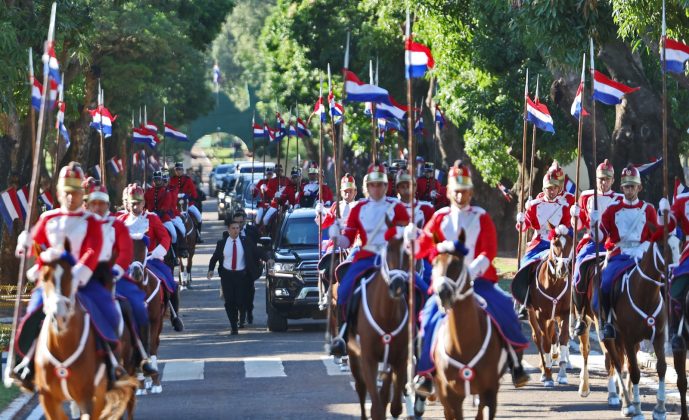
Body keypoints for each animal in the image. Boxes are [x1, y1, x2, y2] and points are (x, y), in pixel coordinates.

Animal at [34, 243, 137, 420]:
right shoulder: (49, 400)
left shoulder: (90, 398)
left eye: (71, 275)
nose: (59, 316)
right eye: (44, 277)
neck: (63, 346)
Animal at [346, 221, 412, 418]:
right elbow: (376, 407)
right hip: (353, 353)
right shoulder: (368, 357)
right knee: (361, 387)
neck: (385, 314)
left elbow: (394, 403)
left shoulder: (399, 358)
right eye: (388, 248)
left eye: (410, 249)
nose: (397, 286)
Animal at [432, 231, 508, 418]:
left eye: (457, 263)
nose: (442, 293)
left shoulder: (490, 392)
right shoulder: (451, 396)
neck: (463, 343)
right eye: (434, 263)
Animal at [524, 225, 572, 388]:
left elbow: (563, 339)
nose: (562, 269)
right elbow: (544, 342)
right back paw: (545, 370)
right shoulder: (541, 315)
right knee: (538, 337)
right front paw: (549, 376)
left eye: (570, 243)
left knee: (552, 335)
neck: (554, 283)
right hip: (533, 315)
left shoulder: (564, 313)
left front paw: (562, 375)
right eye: (555, 243)